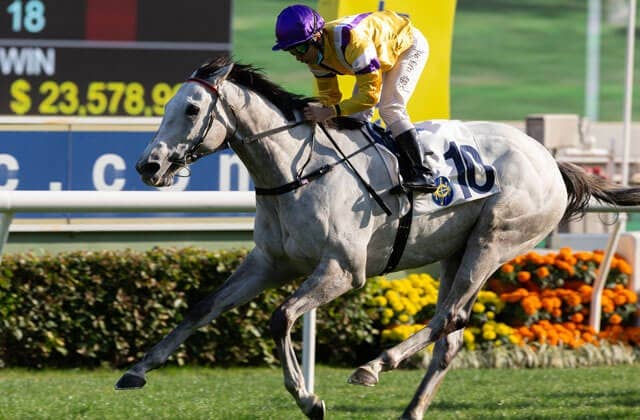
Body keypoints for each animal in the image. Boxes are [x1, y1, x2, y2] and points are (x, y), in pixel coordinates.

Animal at [117, 56, 640, 419]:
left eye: (191, 108)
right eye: (166, 106)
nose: (148, 166)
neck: (297, 172)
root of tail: (551, 161)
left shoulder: (344, 270)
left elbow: (282, 316)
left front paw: (308, 398)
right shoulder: (269, 261)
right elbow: (202, 307)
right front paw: (136, 370)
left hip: (495, 241)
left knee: (449, 317)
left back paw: (376, 363)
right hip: (456, 252)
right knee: (451, 336)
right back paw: (411, 408)